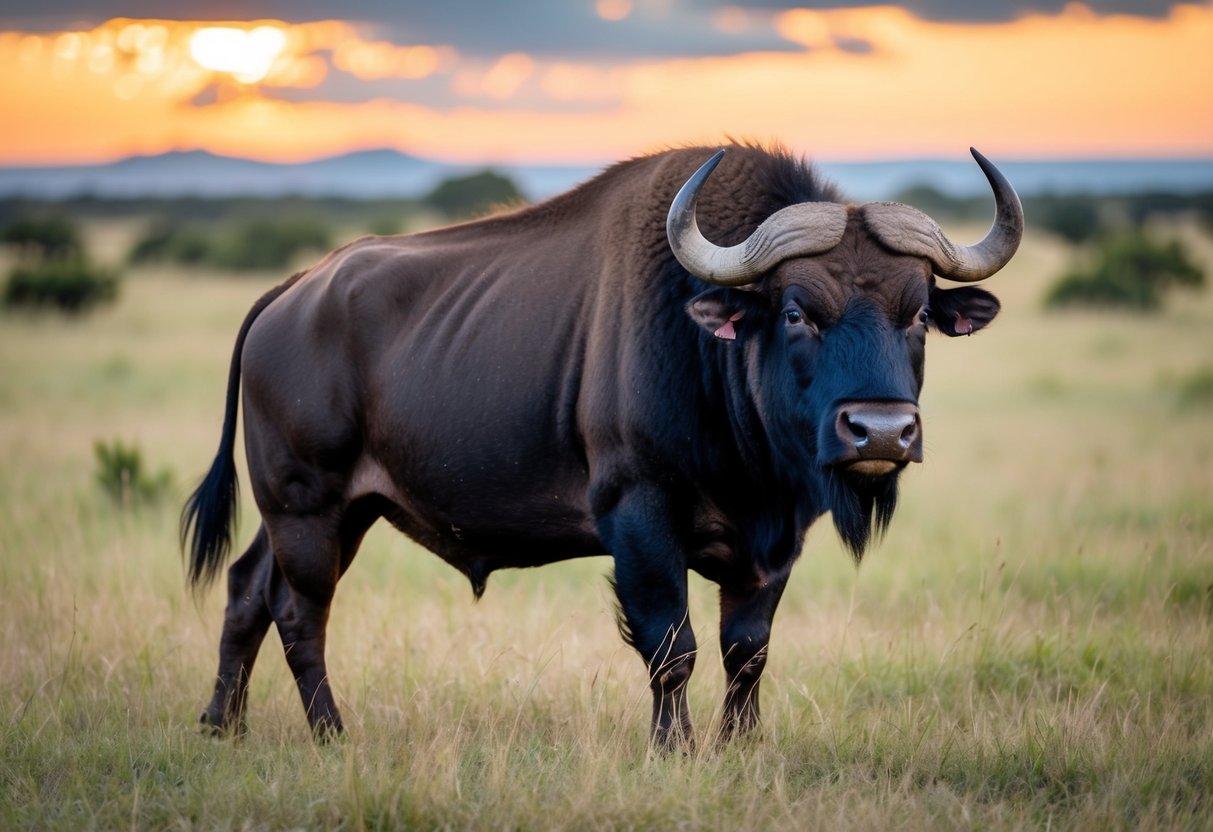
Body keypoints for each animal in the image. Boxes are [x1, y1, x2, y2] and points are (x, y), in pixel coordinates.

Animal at [182, 143, 1022, 748]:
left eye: (916, 314)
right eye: (795, 311)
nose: (880, 431)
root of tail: (291, 294)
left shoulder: (775, 539)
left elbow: (746, 649)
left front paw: (740, 746)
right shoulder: (639, 518)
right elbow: (671, 645)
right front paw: (673, 749)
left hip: (328, 513)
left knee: (246, 589)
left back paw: (222, 725)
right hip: (307, 509)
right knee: (300, 615)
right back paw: (330, 732)